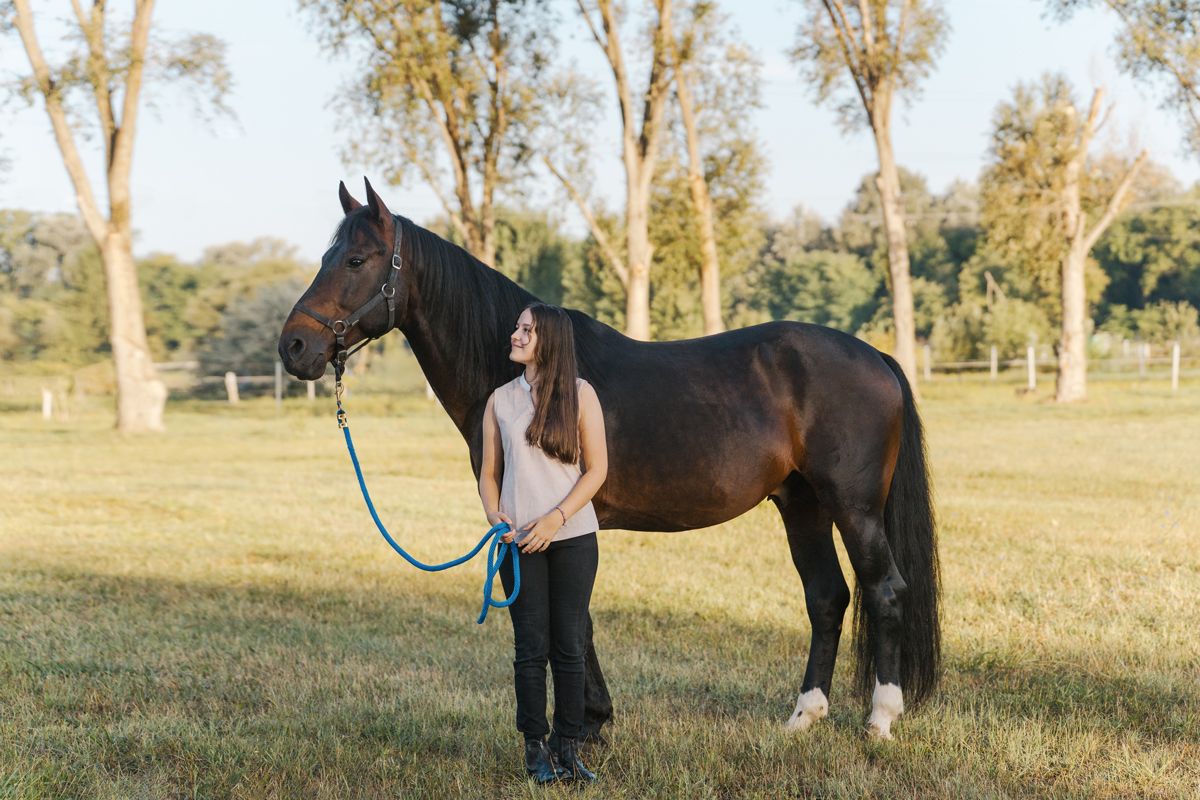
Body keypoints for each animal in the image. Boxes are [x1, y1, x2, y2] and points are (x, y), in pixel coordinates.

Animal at [278, 179, 940, 741]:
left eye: (355, 261)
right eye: (325, 257)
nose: (294, 347)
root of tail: (876, 356)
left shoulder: (552, 519)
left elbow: (572, 614)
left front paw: (586, 725)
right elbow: (577, 615)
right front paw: (593, 720)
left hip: (854, 509)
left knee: (884, 590)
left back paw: (881, 718)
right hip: (802, 504)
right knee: (827, 598)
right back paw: (804, 716)